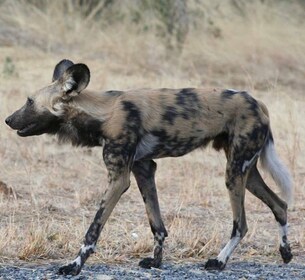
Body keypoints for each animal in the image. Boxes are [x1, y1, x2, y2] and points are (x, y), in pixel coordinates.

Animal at [5, 59, 292, 276]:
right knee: (280, 205)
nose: (7, 119)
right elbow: (157, 225)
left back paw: (219, 262)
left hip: (234, 173)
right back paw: (286, 252)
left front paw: (74, 266)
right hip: (245, 172)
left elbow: (93, 230)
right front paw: (156, 261)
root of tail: (259, 103)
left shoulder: (119, 179)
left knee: (241, 224)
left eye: (29, 101)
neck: (103, 114)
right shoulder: (143, 169)